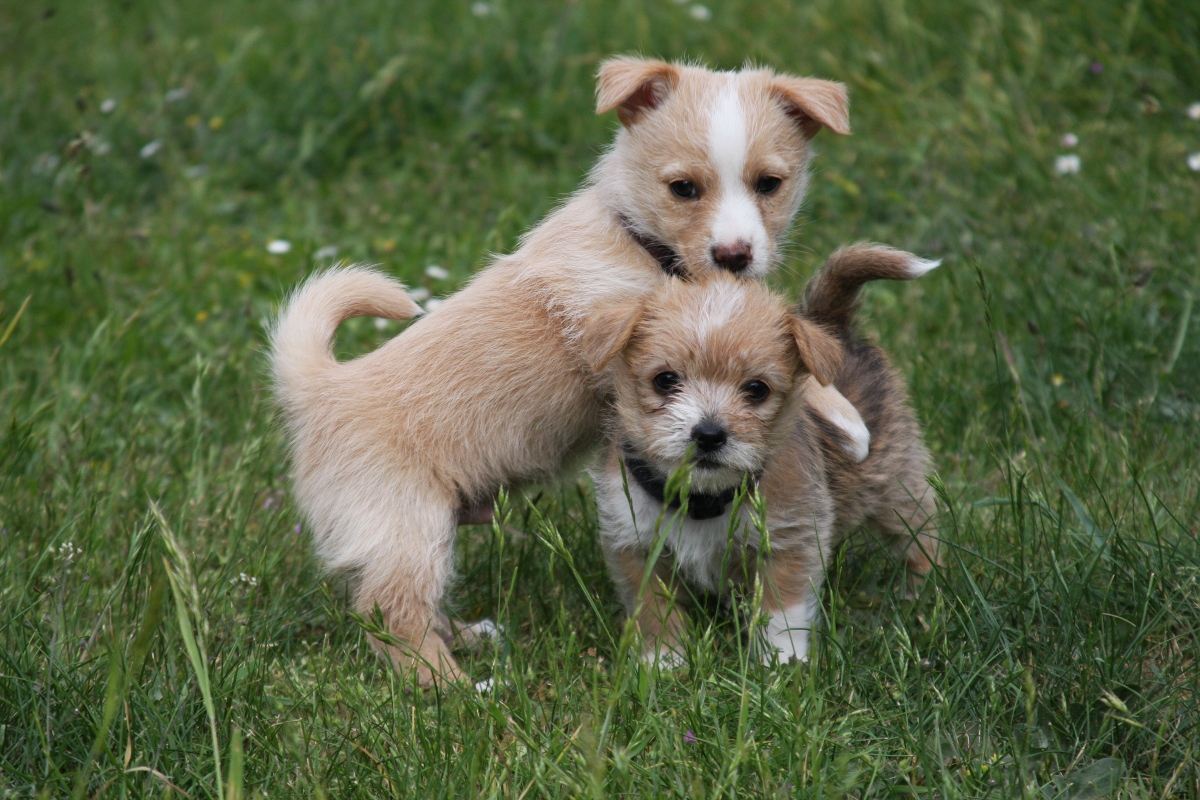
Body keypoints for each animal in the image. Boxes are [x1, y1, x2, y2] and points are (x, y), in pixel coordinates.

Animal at [270, 57, 858, 685]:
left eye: (769, 183)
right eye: (683, 189)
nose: (734, 256)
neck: (643, 246)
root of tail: (320, 388)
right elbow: (810, 384)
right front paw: (851, 421)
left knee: (412, 608)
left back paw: (472, 638)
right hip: (408, 527)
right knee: (394, 616)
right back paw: (462, 689)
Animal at [590, 244, 941, 666]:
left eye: (757, 389)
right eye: (665, 380)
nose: (709, 434)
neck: (704, 499)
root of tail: (832, 322)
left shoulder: (789, 540)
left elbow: (782, 609)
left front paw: (782, 662)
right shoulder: (636, 545)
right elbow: (654, 609)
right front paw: (663, 662)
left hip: (896, 483)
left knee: (920, 533)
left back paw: (922, 592)